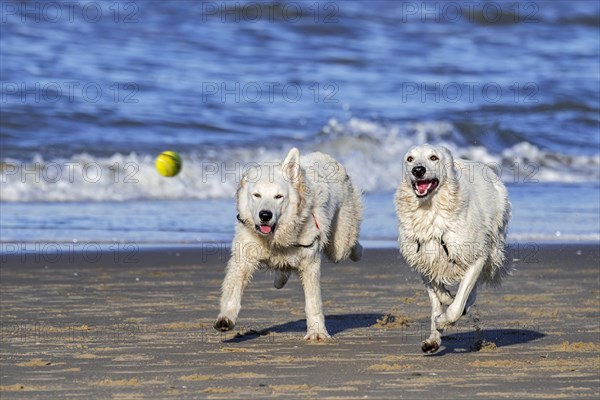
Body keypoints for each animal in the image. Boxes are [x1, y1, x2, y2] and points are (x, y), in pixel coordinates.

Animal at [214, 147, 360, 340]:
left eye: (278, 197)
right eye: (256, 195)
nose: (265, 215)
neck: (275, 237)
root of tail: (328, 157)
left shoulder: (309, 261)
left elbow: (313, 302)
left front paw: (317, 332)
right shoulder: (244, 257)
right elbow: (233, 289)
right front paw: (226, 318)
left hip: (339, 245)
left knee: (348, 245)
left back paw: (358, 252)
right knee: (284, 267)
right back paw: (279, 280)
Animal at [394, 144, 510, 354]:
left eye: (433, 158)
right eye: (409, 159)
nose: (418, 170)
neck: (429, 209)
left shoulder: (476, 255)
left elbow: (457, 305)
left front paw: (445, 319)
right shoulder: (423, 259)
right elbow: (437, 297)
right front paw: (443, 307)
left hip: (492, 244)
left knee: (471, 294)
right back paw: (433, 338)